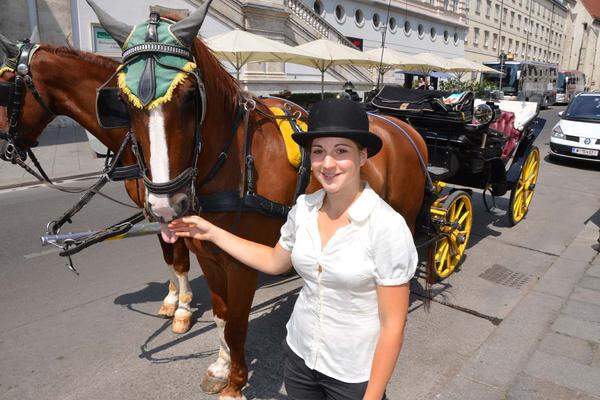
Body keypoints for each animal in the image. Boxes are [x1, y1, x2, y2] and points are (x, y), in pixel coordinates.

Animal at [0, 40, 197, 334]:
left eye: (5, 86)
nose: (4, 147)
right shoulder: (152, 209)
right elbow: (167, 255)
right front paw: (171, 299)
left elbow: (181, 258)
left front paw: (183, 309)